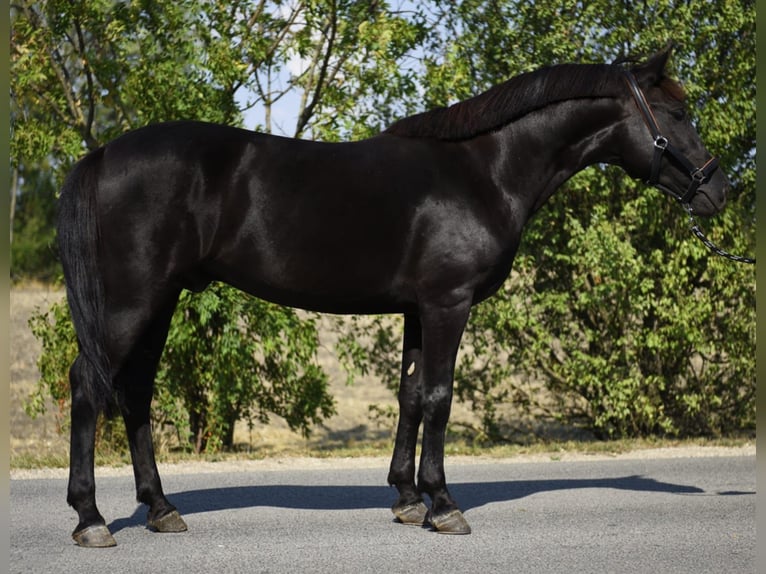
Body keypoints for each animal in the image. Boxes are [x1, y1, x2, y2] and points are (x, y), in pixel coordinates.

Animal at [57, 46, 728, 547]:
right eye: (677, 115)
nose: (717, 192)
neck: (484, 170)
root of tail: (101, 154)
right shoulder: (447, 304)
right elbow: (438, 397)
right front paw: (445, 504)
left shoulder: (417, 309)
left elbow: (409, 396)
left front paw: (408, 498)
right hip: (132, 302)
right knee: (89, 386)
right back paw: (91, 519)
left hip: (161, 301)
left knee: (136, 392)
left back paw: (160, 508)